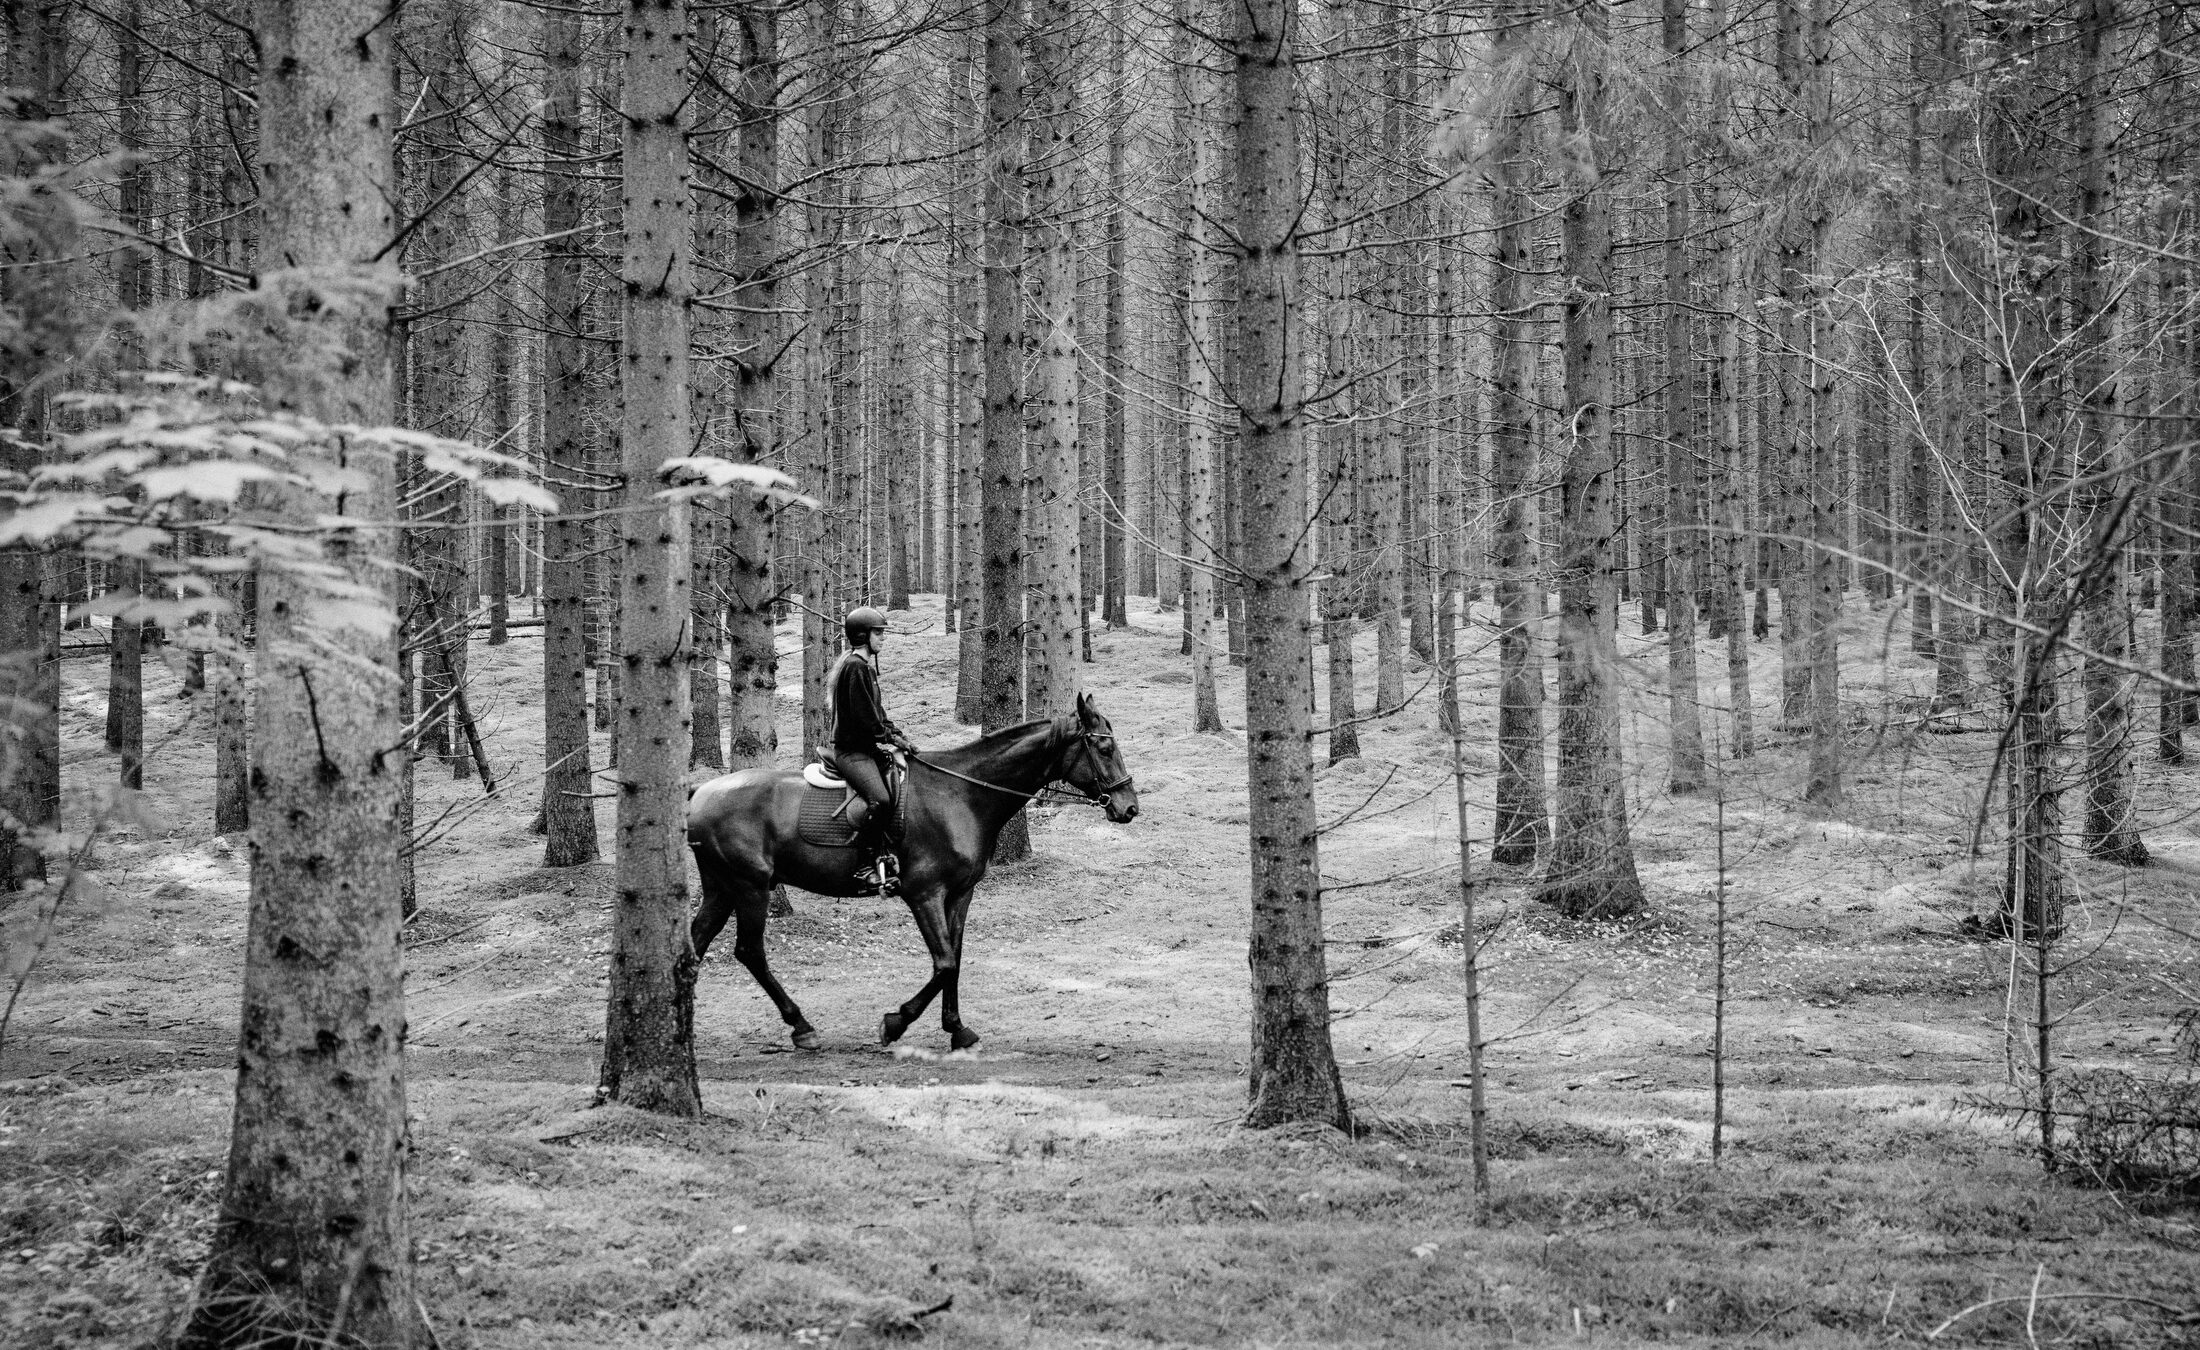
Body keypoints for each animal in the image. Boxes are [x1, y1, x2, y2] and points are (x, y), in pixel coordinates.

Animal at [685, 691, 1139, 1051]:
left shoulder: (960, 894)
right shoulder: (924, 894)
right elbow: (944, 963)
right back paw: (801, 1026)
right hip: (750, 886)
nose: (1130, 807)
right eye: (1103, 749)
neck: (962, 794)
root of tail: (700, 792)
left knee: (696, 942)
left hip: (722, 887)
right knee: (749, 951)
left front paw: (957, 1029)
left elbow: (955, 957)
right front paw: (896, 1023)